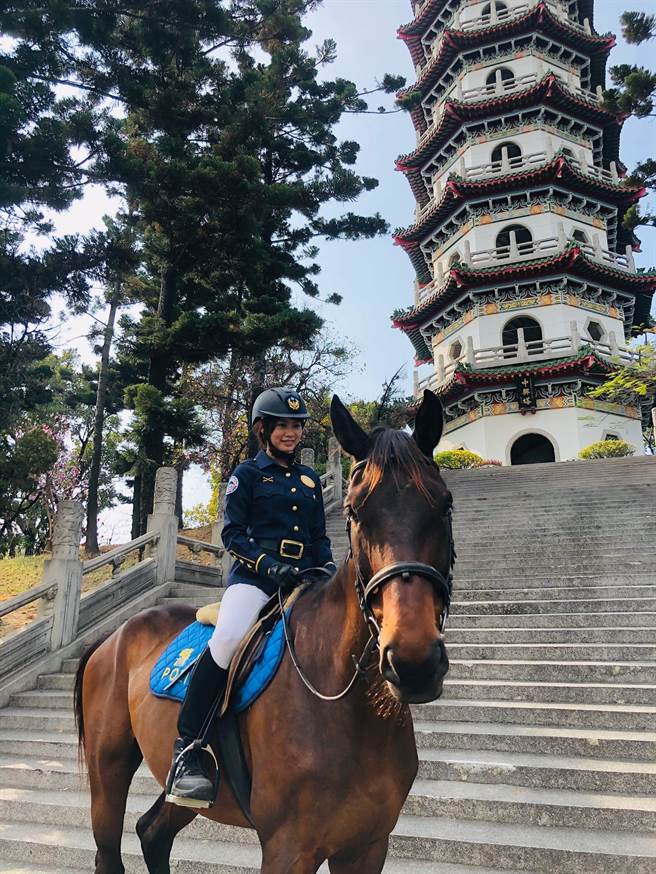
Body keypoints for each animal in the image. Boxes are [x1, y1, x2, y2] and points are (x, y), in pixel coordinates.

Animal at [74, 390, 454, 874]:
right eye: (355, 511)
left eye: (444, 505)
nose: (414, 660)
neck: (354, 707)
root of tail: (111, 637)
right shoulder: (288, 848)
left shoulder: (368, 846)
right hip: (109, 768)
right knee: (109, 847)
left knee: (152, 832)